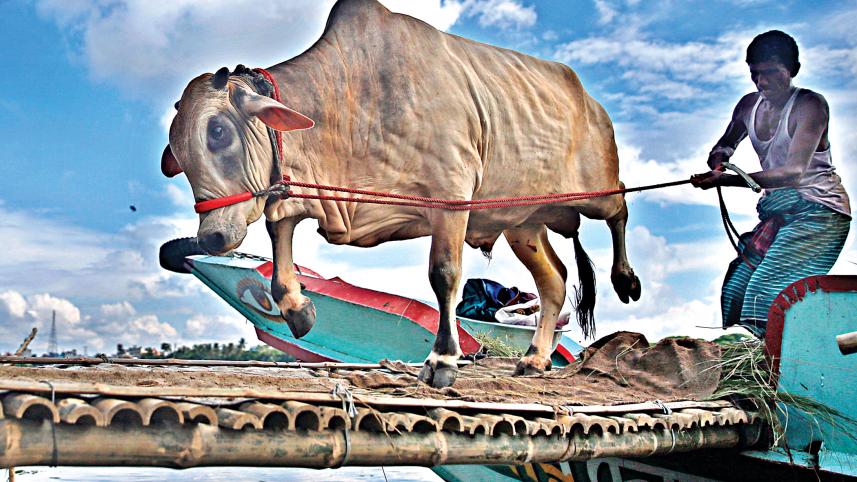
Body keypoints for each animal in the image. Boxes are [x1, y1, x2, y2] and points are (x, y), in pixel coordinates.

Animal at [161, 0, 641, 388]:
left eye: (218, 131)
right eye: (178, 152)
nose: (211, 238)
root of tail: (590, 101)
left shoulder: (450, 198)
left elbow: (444, 275)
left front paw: (442, 360)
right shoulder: (303, 192)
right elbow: (280, 249)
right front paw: (298, 309)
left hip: (594, 189)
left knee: (620, 205)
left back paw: (625, 278)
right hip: (523, 223)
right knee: (555, 279)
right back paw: (536, 359)